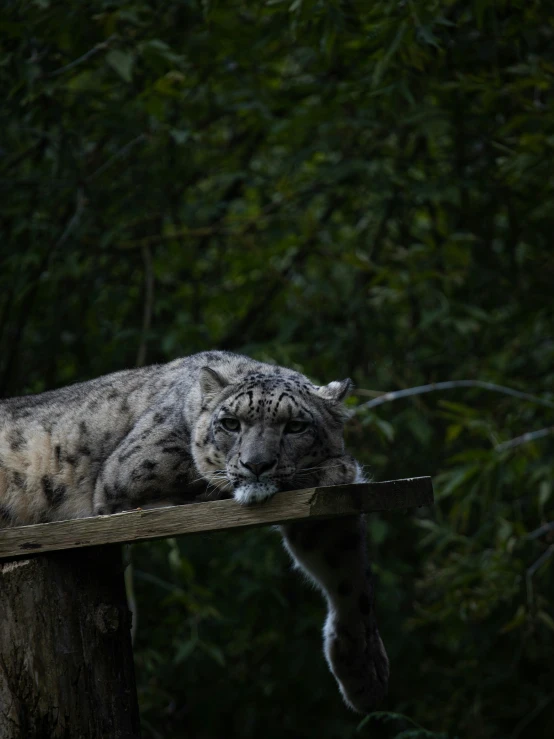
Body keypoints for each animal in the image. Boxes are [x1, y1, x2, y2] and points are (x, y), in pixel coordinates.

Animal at [0, 356, 388, 712]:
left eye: (295, 426)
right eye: (230, 423)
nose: (256, 464)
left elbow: (349, 579)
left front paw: (364, 675)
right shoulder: (136, 471)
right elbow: (204, 473)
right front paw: (342, 466)